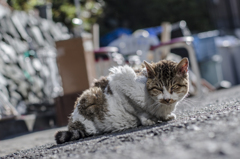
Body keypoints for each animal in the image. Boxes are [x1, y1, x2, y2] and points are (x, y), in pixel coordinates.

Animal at [54, 58, 189, 144]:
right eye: (158, 88)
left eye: (174, 87)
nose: (167, 99)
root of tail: (72, 123)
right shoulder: (120, 79)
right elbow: (136, 109)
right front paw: (148, 120)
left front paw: (166, 117)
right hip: (91, 97)